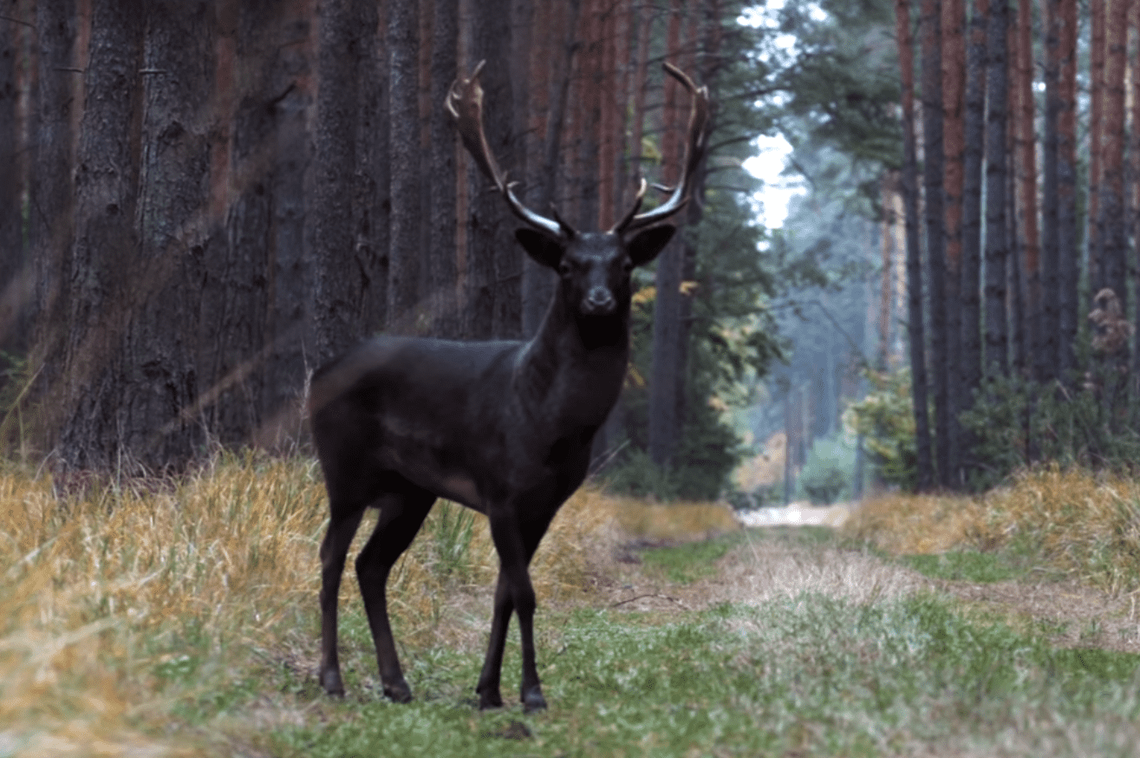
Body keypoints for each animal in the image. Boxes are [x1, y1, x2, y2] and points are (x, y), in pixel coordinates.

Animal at [307, 59, 706, 711]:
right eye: (568, 265)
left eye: (625, 264)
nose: (599, 302)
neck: (547, 422)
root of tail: (318, 372)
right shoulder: (499, 489)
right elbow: (525, 592)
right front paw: (531, 692)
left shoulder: (547, 501)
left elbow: (504, 591)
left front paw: (489, 690)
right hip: (343, 466)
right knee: (330, 557)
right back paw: (333, 678)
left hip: (410, 491)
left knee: (371, 564)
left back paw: (396, 682)